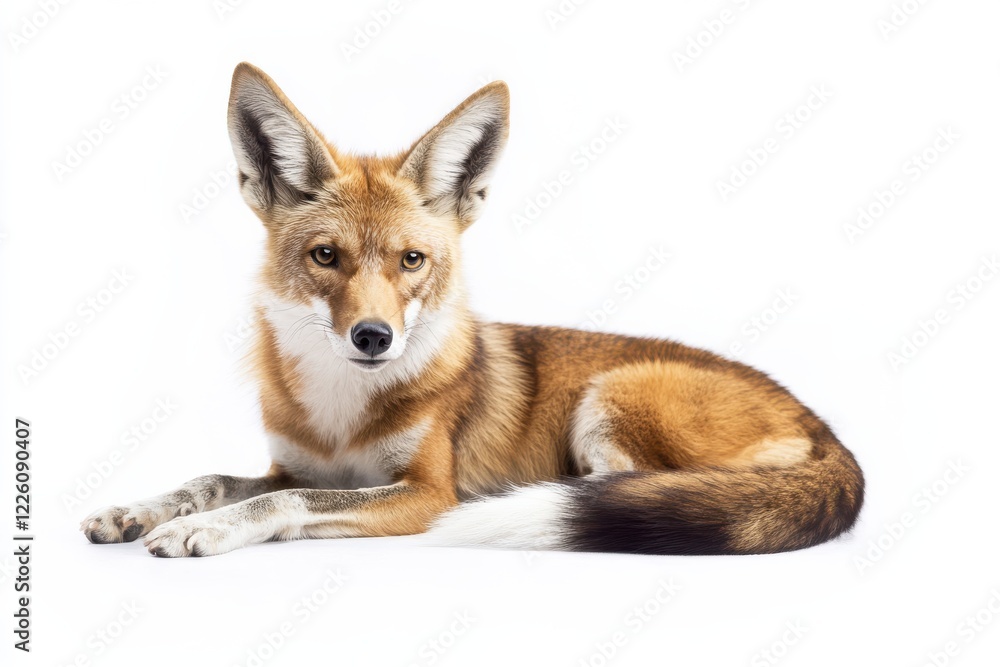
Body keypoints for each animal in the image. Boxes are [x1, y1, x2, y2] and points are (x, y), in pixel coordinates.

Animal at [81, 62, 864, 557]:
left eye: (411, 261)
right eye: (326, 256)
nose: (373, 337)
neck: (341, 417)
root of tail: (825, 426)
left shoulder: (425, 491)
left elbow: (279, 506)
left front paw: (208, 528)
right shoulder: (294, 465)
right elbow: (210, 480)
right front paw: (138, 509)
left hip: (613, 396)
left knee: (644, 490)